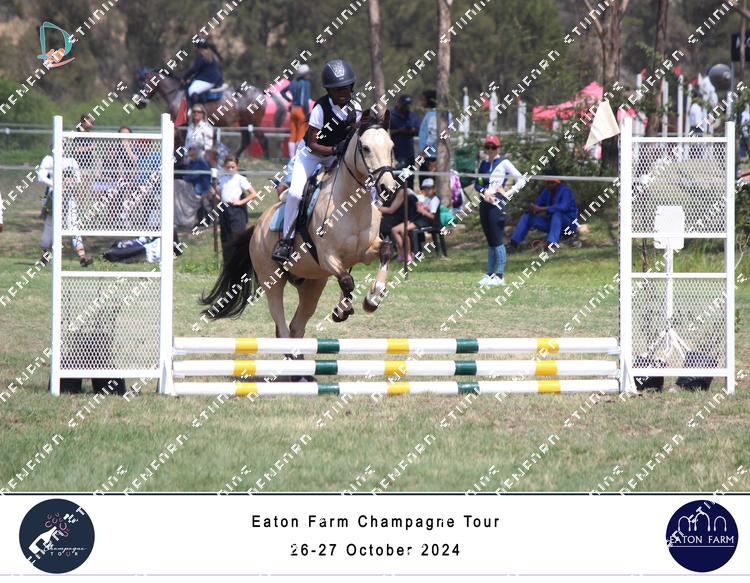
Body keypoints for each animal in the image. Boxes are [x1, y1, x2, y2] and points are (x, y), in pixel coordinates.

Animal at [134, 68, 266, 159]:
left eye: (142, 84)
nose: (139, 104)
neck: (176, 93)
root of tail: (259, 92)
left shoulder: (183, 126)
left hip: (253, 123)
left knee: (262, 140)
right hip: (244, 122)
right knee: (246, 141)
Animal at [201, 109, 399, 341]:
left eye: (391, 147)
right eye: (366, 148)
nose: (388, 188)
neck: (351, 205)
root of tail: (257, 227)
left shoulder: (364, 251)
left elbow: (385, 252)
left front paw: (372, 298)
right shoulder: (327, 256)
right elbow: (347, 280)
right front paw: (344, 310)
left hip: (312, 283)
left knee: (296, 327)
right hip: (272, 280)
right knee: (282, 327)